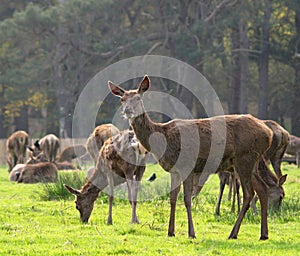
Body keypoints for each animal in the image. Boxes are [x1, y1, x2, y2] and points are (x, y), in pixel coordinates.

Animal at [109, 75, 274, 239]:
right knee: (262, 188)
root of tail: (268, 133)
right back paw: (263, 234)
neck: (163, 139)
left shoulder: (187, 165)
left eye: (138, 98)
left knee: (249, 193)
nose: (128, 110)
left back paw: (233, 233)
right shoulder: (174, 170)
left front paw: (191, 233)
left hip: (244, 158)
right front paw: (171, 231)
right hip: (251, 162)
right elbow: (172, 198)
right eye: (122, 99)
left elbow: (187, 199)